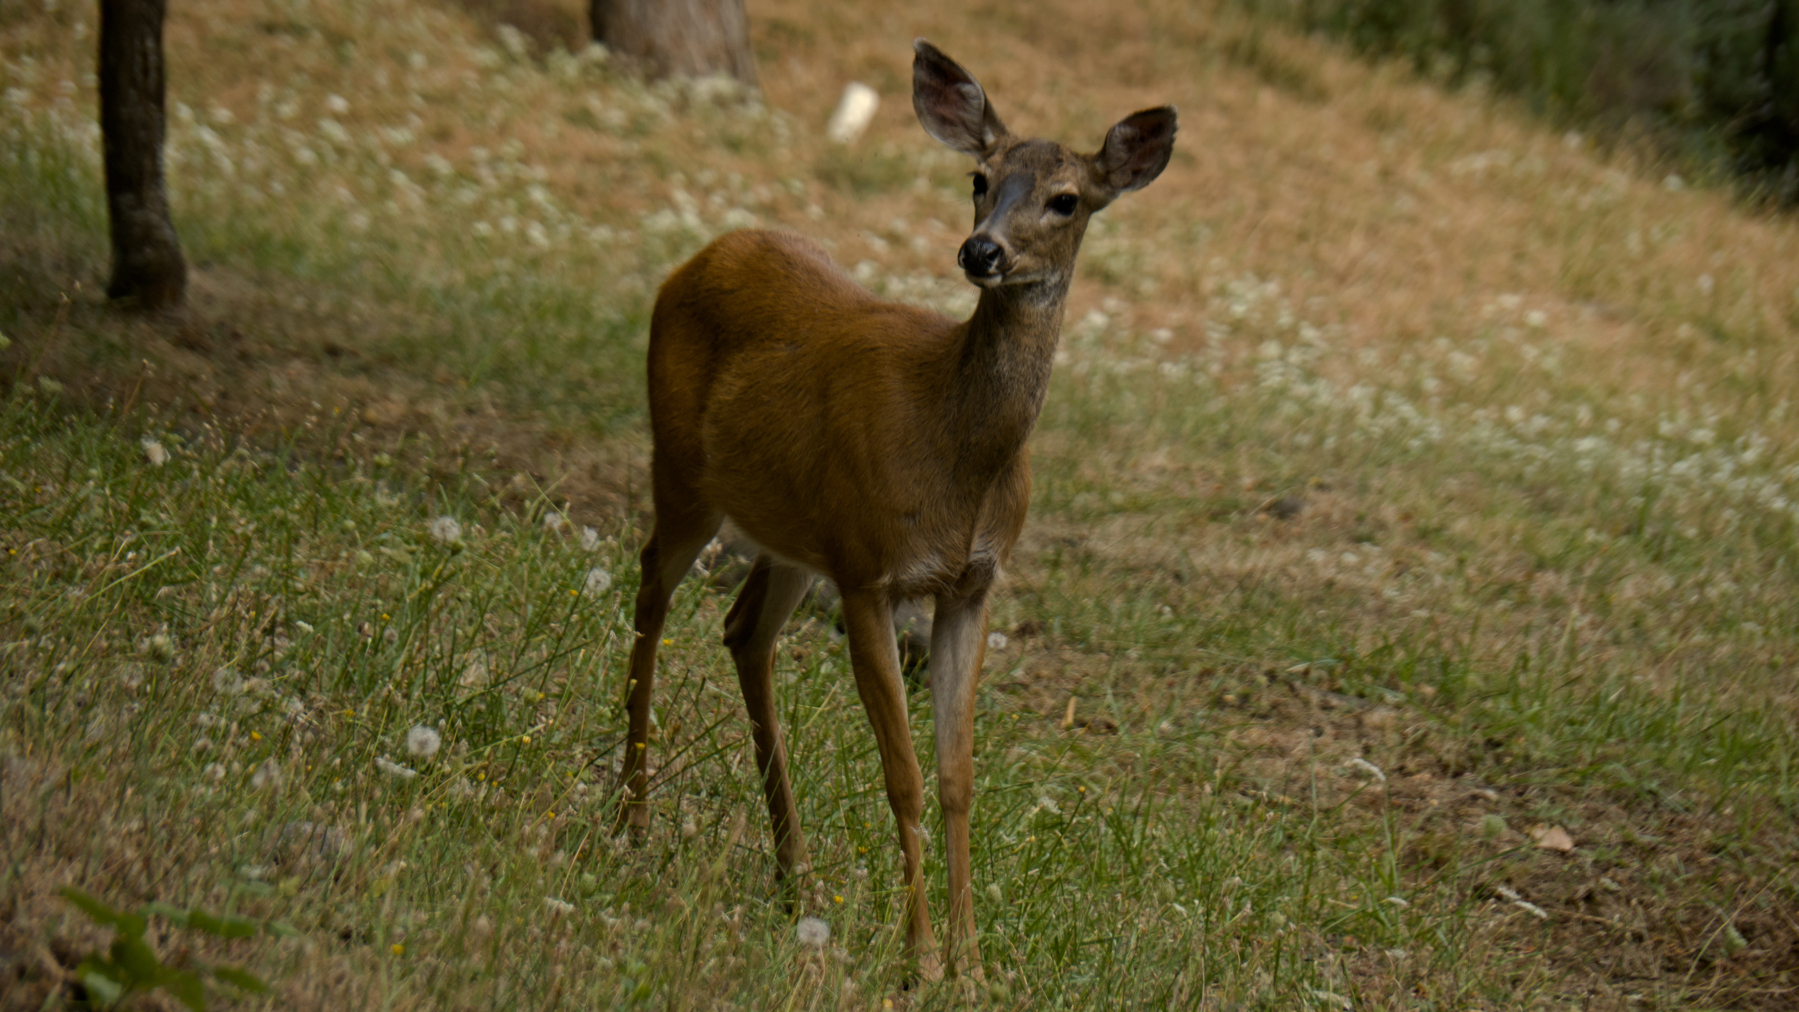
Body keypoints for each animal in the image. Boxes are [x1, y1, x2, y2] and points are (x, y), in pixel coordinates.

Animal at [612, 38, 1176, 981]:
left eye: (1066, 199)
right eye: (978, 178)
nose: (981, 251)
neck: (957, 456)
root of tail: (701, 255)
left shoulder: (970, 585)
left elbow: (957, 778)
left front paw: (973, 963)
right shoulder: (871, 571)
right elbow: (903, 773)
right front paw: (918, 959)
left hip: (796, 533)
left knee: (742, 631)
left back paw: (792, 876)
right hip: (686, 470)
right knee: (651, 591)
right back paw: (633, 819)